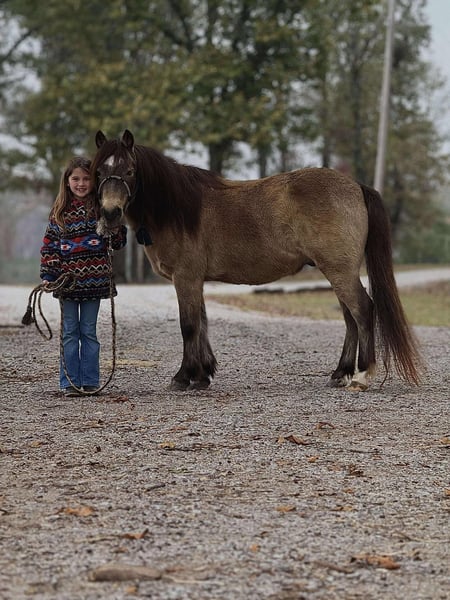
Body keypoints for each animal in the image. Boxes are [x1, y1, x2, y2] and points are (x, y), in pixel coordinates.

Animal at [91, 129, 421, 392]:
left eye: (130, 170)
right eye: (98, 172)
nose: (110, 212)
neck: (176, 210)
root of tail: (355, 186)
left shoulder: (185, 278)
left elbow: (189, 326)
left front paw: (183, 377)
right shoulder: (195, 280)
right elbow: (202, 324)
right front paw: (202, 375)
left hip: (340, 271)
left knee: (363, 310)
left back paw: (362, 376)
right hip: (338, 271)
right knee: (351, 318)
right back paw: (340, 373)